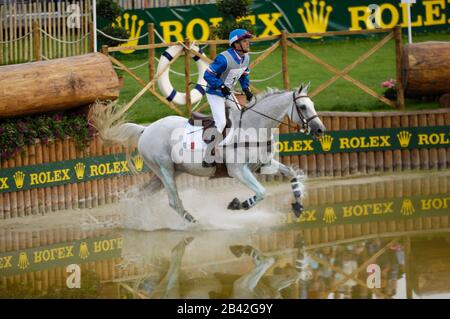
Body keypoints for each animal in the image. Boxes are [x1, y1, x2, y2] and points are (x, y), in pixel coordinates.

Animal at [89, 82, 326, 225]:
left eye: (313, 104)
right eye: (303, 107)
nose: (320, 130)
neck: (253, 127)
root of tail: (145, 130)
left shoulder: (265, 165)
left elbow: (292, 174)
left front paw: (298, 204)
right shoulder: (239, 171)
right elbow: (261, 192)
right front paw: (238, 205)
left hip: (167, 173)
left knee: (143, 194)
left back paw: (141, 221)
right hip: (165, 170)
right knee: (174, 202)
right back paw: (195, 223)